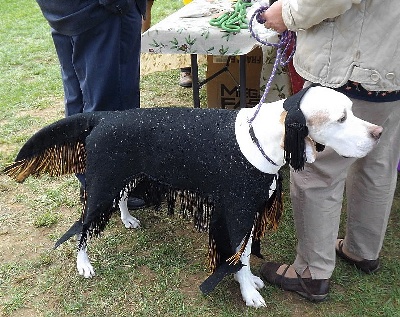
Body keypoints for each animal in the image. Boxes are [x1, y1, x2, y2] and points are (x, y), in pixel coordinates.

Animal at [4, 86, 382, 306]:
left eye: (352, 110)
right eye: (341, 118)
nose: (378, 132)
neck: (265, 136)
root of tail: (104, 116)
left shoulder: (247, 211)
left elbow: (244, 255)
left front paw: (251, 283)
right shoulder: (238, 211)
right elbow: (239, 258)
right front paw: (247, 292)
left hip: (126, 177)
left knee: (121, 199)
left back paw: (126, 218)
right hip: (102, 186)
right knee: (82, 226)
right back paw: (83, 263)